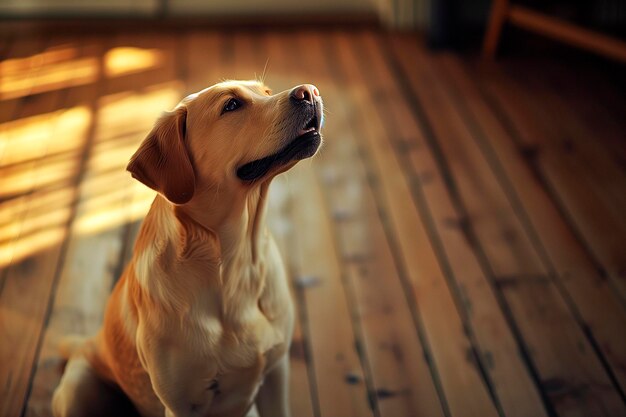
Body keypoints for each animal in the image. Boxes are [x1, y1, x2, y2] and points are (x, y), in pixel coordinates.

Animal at [51, 79, 324, 416]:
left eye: (266, 91)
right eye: (231, 105)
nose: (309, 91)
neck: (236, 263)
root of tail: (88, 342)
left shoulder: (276, 373)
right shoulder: (180, 403)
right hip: (78, 389)